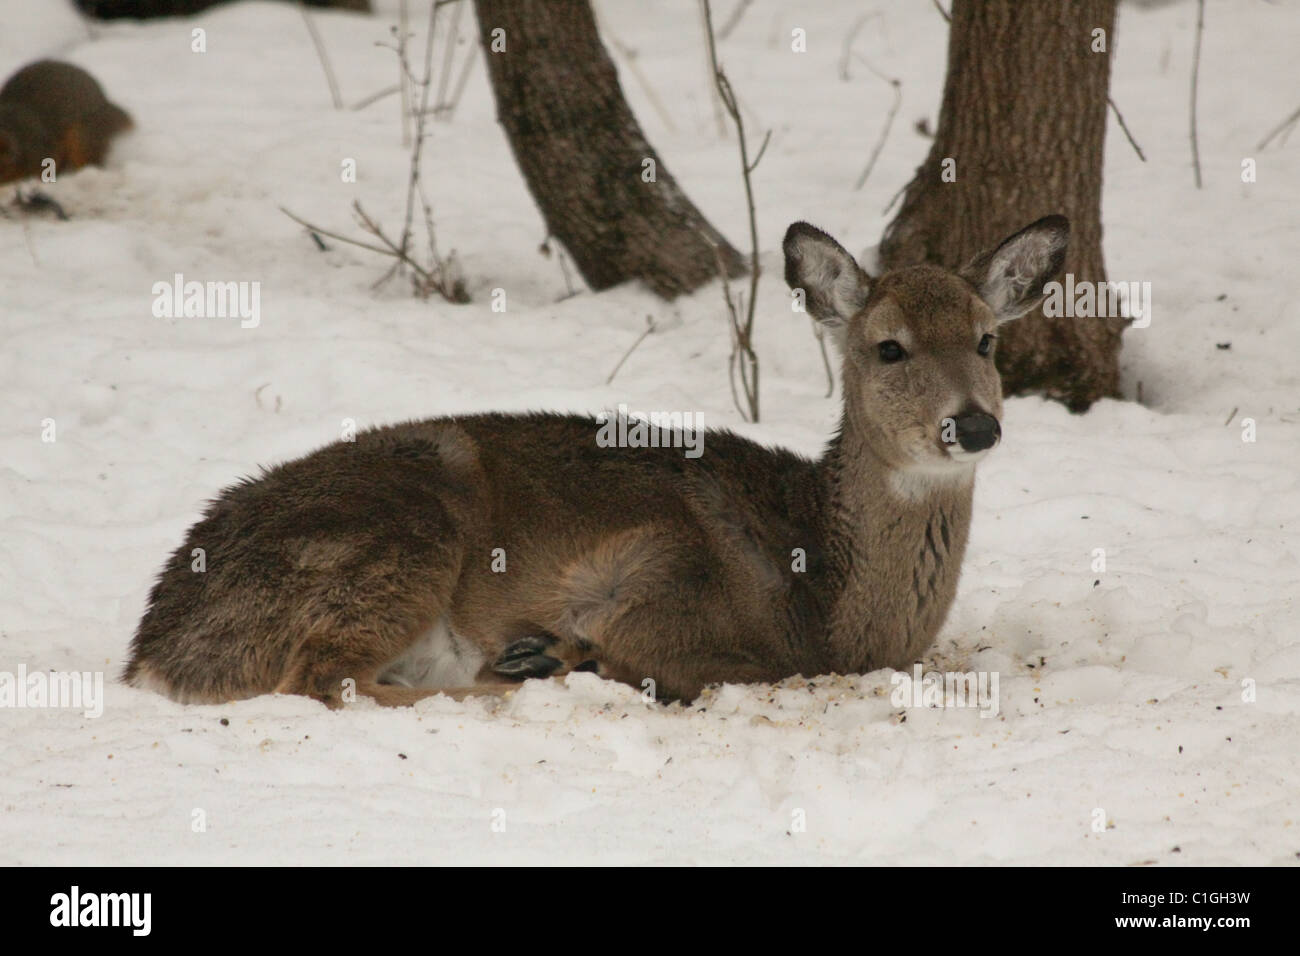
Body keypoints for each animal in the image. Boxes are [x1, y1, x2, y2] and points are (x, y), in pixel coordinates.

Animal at [124, 215, 1069, 708]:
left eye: (987, 339)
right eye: (889, 348)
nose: (973, 425)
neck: (831, 606)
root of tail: (155, 642)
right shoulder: (651, 571)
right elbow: (719, 664)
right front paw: (566, 654)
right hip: (403, 537)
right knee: (324, 679)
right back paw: (528, 667)